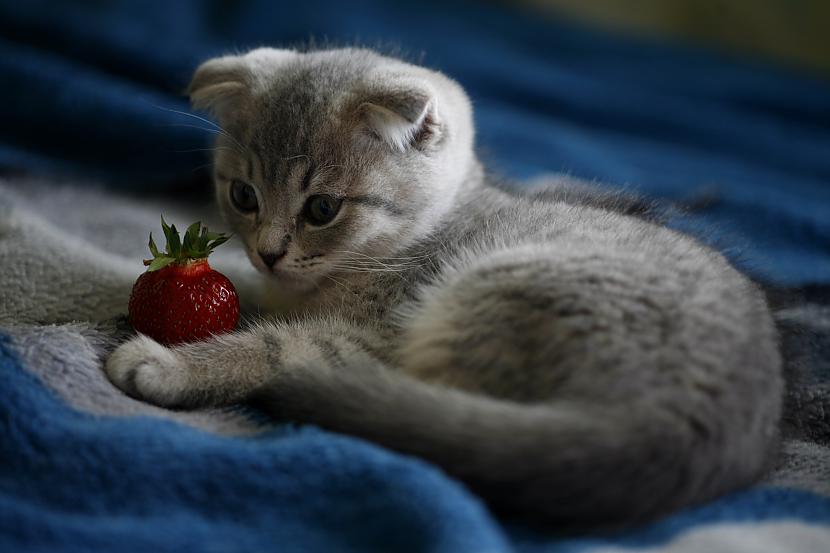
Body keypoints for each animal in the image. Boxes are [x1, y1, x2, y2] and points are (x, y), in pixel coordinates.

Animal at [105, 48, 788, 528]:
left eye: (323, 208)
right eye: (243, 196)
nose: (269, 252)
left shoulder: (371, 337)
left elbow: (274, 344)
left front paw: (168, 362)